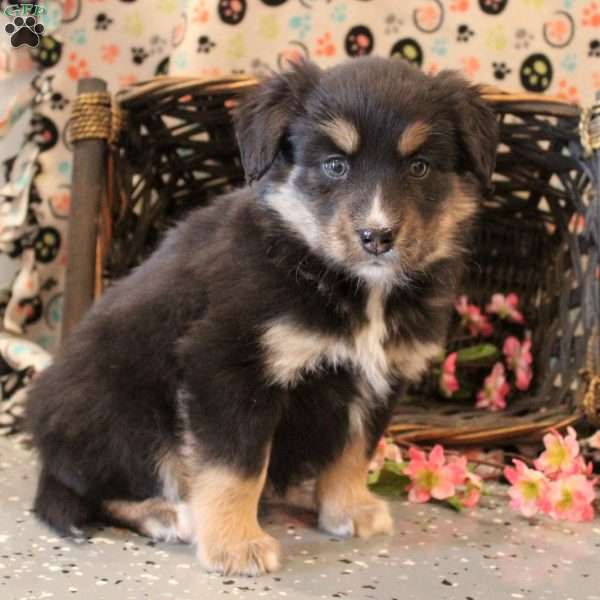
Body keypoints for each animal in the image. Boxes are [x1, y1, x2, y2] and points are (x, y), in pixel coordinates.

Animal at [27, 57, 496, 576]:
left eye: (419, 167)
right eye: (335, 165)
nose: (377, 236)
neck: (352, 285)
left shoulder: (379, 376)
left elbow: (355, 449)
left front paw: (349, 510)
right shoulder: (229, 365)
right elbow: (236, 465)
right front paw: (236, 547)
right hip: (124, 412)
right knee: (99, 489)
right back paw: (168, 516)